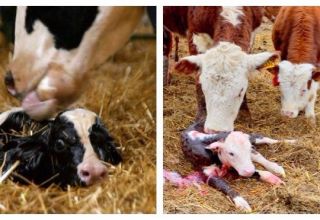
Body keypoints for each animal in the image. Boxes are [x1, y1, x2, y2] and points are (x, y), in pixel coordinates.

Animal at [165, 121, 296, 212]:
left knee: (262, 141)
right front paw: (242, 203)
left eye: (247, 148)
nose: (248, 171)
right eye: (231, 153)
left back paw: (289, 146)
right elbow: (224, 185)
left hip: (250, 137)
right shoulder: (207, 172)